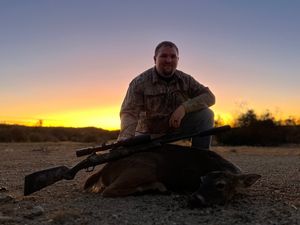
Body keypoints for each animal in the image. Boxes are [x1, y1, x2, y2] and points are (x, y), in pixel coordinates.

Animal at [84, 144, 260, 207]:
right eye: (201, 181)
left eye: (220, 185)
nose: (193, 199)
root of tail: (106, 168)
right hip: (145, 167)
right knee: (108, 191)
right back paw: (155, 188)